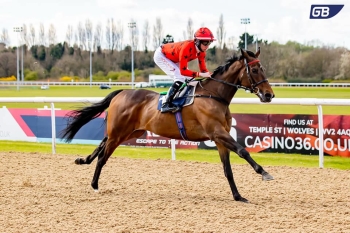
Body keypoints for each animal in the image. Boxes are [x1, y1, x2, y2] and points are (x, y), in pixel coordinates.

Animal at [61, 47, 274, 202]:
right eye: (255, 70)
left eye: (263, 68)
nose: (269, 95)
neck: (214, 95)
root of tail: (121, 92)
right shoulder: (217, 133)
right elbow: (243, 151)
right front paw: (264, 172)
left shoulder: (220, 139)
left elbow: (227, 170)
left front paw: (238, 196)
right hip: (119, 133)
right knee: (103, 156)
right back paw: (95, 185)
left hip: (130, 132)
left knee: (102, 144)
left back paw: (83, 160)